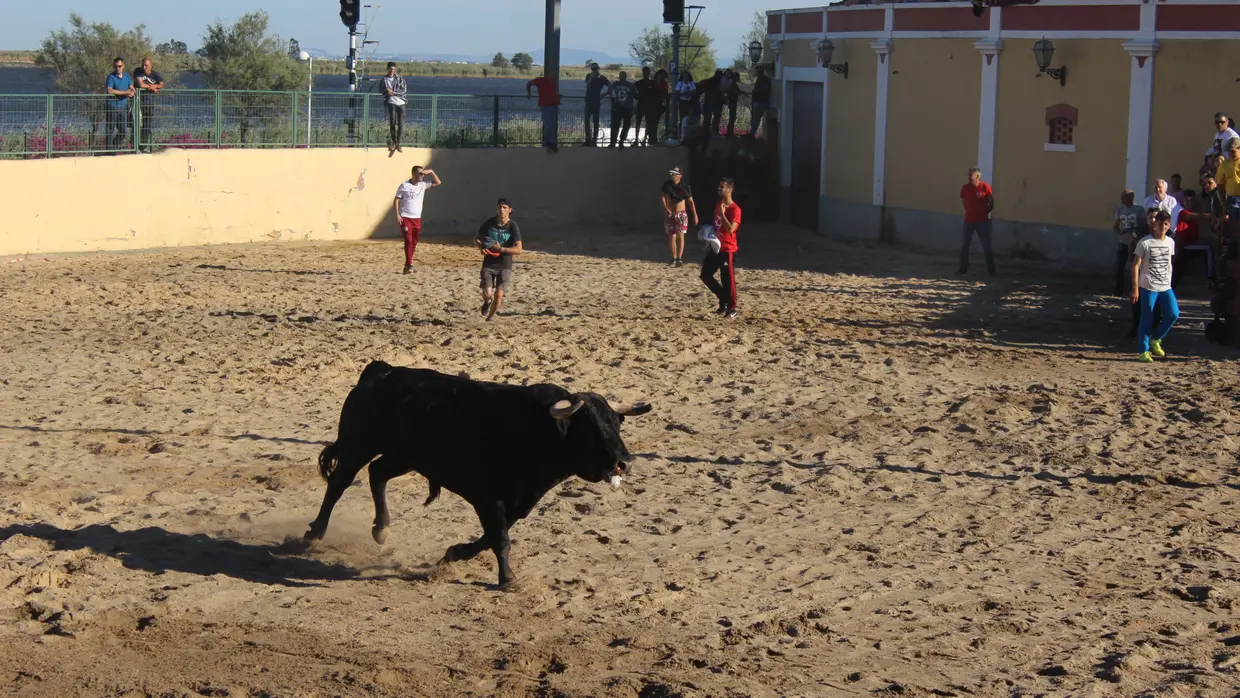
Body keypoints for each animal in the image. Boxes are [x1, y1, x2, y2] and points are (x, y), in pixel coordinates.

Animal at [305, 364, 654, 587]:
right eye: (590, 428)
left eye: (616, 424)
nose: (624, 462)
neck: (536, 430)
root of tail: (379, 371)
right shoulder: (489, 498)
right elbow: (500, 538)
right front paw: (507, 579)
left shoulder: (513, 502)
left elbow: (492, 536)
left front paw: (455, 553)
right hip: (359, 443)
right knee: (339, 483)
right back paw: (315, 533)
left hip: (404, 456)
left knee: (377, 473)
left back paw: (381, 529)